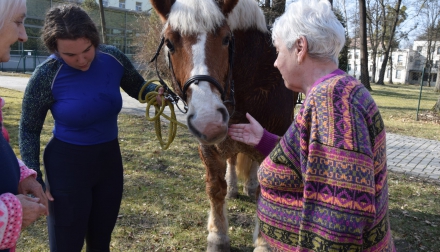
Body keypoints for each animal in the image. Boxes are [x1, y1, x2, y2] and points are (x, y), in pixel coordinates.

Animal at [150, 0, 298, 250]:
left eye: (227, 39)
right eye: (169, 42)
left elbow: (265, 191)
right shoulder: (209, 147)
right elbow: (215, 188)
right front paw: (218, 236)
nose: (208, 120)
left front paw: (263, 243)